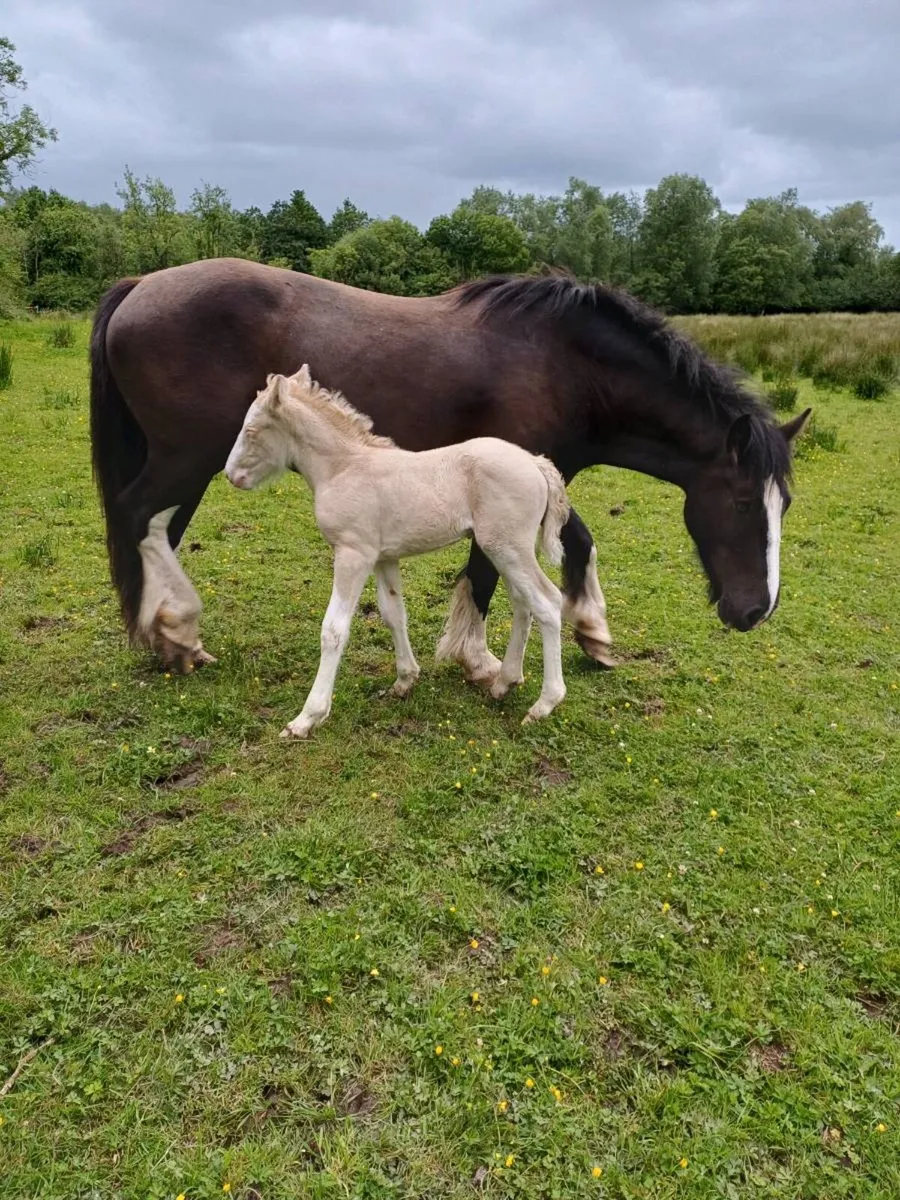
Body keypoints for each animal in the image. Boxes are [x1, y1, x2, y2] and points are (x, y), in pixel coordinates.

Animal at [89, 260, 810, 676]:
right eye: (741, 501)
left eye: (785, 505)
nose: (756, 610)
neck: (568, 366)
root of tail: (140, 286)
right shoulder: (504, 481)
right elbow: (489, 569)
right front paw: (478, 657)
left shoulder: (540, 476)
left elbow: (576, 542)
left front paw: (593, 633)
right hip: (189, 457)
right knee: (137, 516)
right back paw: (174, 632)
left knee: (157, 530)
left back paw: (168, 633)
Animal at [225, 366, 571, 734]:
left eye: (251, 429)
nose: (232, 476)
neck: (343, 467)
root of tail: (536, 464)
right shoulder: (384, 556)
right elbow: (393, 613)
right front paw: (405, 680)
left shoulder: (353, 553)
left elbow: (334, 629)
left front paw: (307, 717)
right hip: (507, 549)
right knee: (523, 604)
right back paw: (505, 682)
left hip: (506, 547)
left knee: (548, 602)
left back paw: (544, 704)